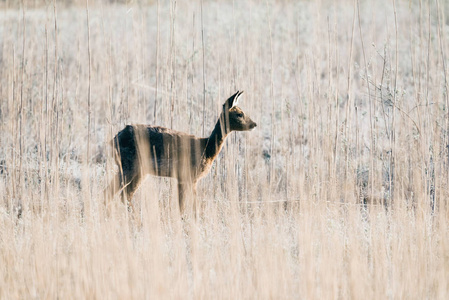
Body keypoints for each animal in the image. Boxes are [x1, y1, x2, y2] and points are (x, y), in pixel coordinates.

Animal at [107, 90, 256, 214]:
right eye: (239, 114)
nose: (254, 124)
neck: (206, 148)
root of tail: (114, 139)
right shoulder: (184, 175)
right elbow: (184, 206)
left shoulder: (190, 179)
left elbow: (189, 205)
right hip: (129, 166)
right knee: (114, 193)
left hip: (139, 171)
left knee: (122, 194)